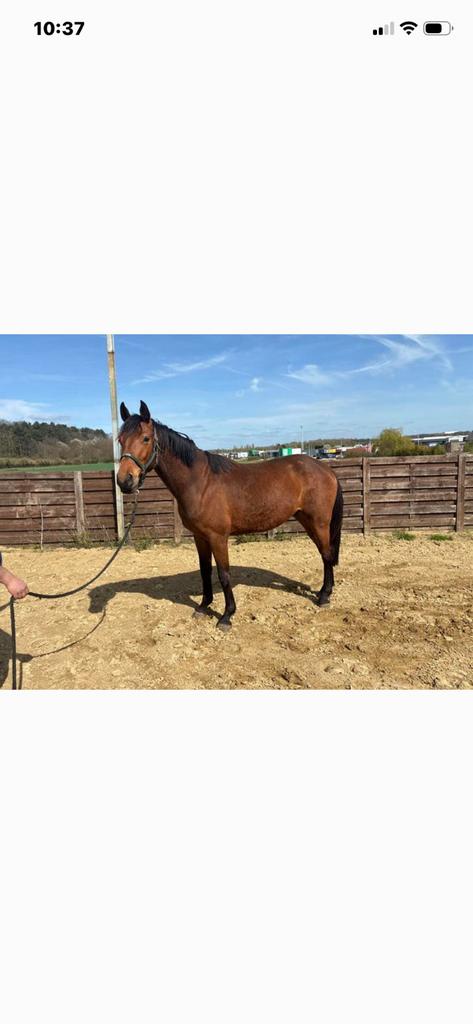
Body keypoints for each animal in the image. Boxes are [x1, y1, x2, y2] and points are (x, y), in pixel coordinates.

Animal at [116, 401, 343, 630]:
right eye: (120, 440)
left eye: (146, 438)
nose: (125, 481)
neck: (200, 482)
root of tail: (325, 469)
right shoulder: (200, 537)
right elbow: (205, 571)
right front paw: (203, 606)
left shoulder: (218, 537)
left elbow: (223, 574)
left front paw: (227, 615)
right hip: (307, 521)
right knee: (324, 553)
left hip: (319, 522)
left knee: (326, 554)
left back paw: (324, 597)